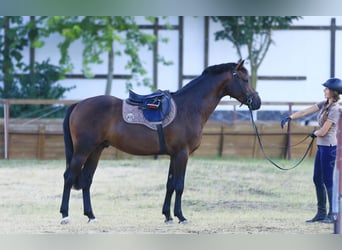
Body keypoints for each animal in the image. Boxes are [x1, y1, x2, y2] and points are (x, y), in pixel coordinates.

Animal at [60, 60, 260, 225]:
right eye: (244, 79)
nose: (257, 102)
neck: (189, 107)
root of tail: (78, 105)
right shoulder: (182, 154)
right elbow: (179, 185)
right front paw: (180, 216)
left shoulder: (174, 155)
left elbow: (170, 185)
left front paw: (168, 216)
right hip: (82, 151)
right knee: (69, 177)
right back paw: (65, 215)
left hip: (96, 150)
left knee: (86, 180)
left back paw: (91, 215)